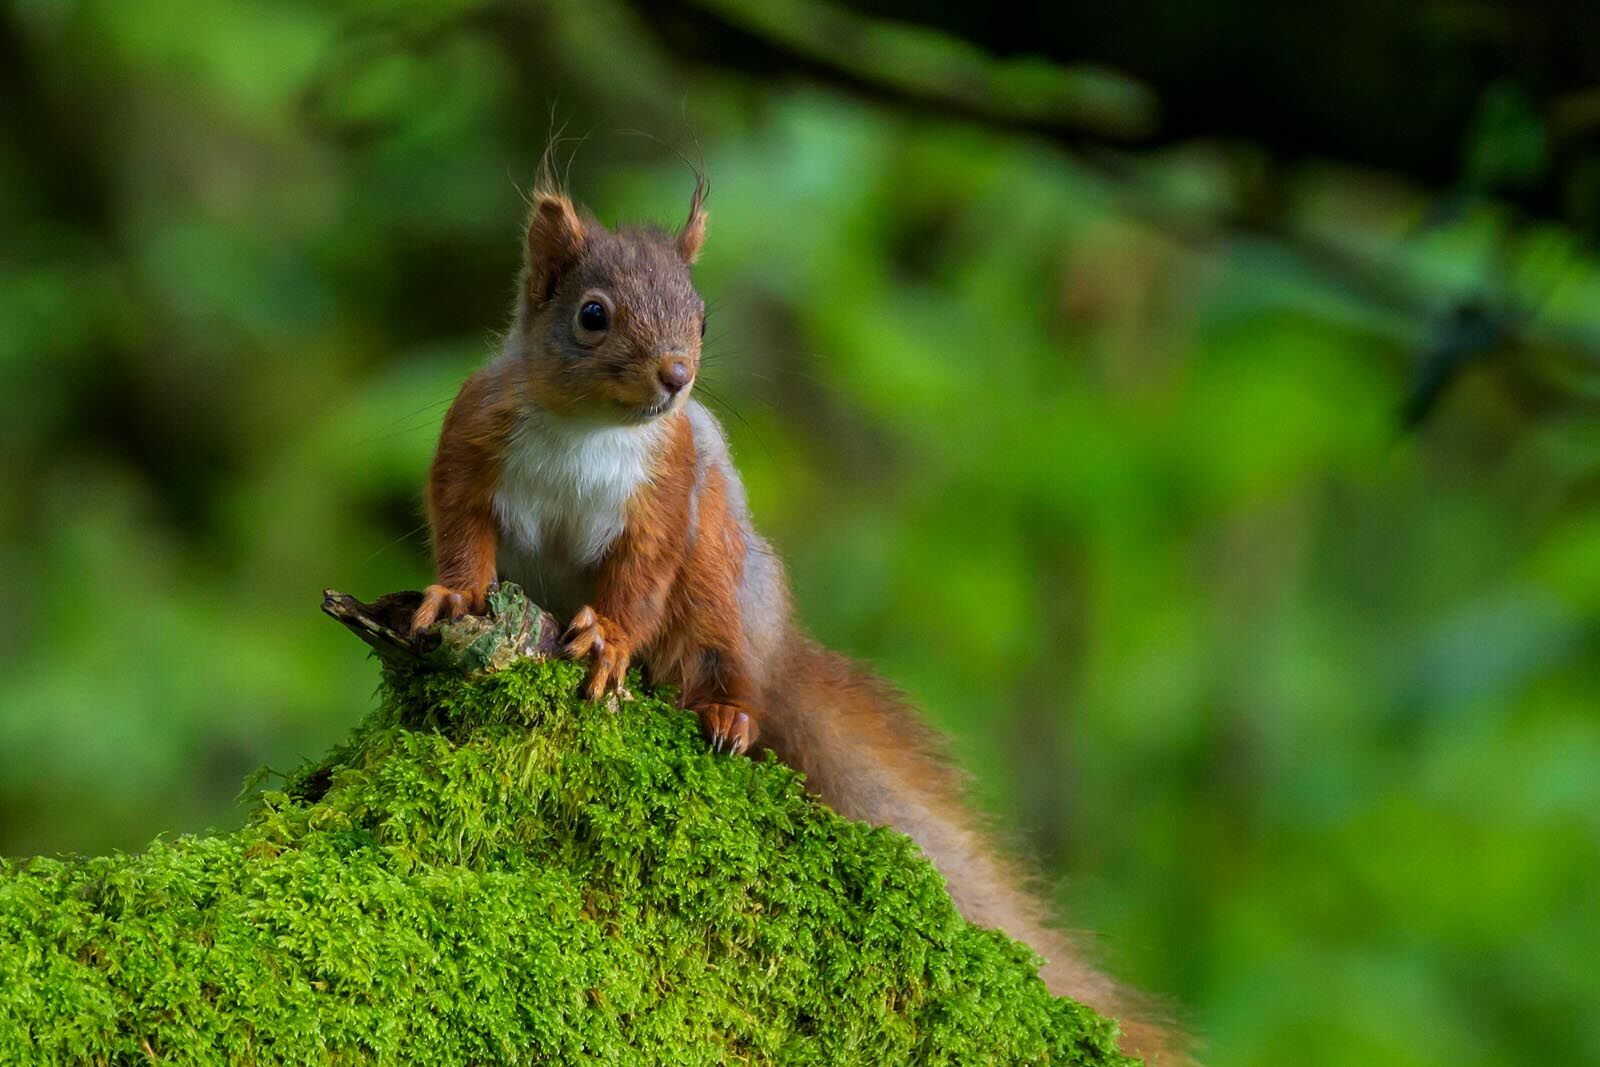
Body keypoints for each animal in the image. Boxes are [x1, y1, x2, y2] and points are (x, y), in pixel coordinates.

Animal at [409, 177, 1189, 1064]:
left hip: (719, 578)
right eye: (592, 314)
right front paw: (453, 597)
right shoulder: (473, 437)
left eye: (702, 315)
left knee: (719, 659)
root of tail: (776, 651)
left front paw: (608, 639)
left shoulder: (669, 493)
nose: (676, 376)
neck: (590, 429)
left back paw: (727, 712)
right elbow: (463, 531)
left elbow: (638, 584)